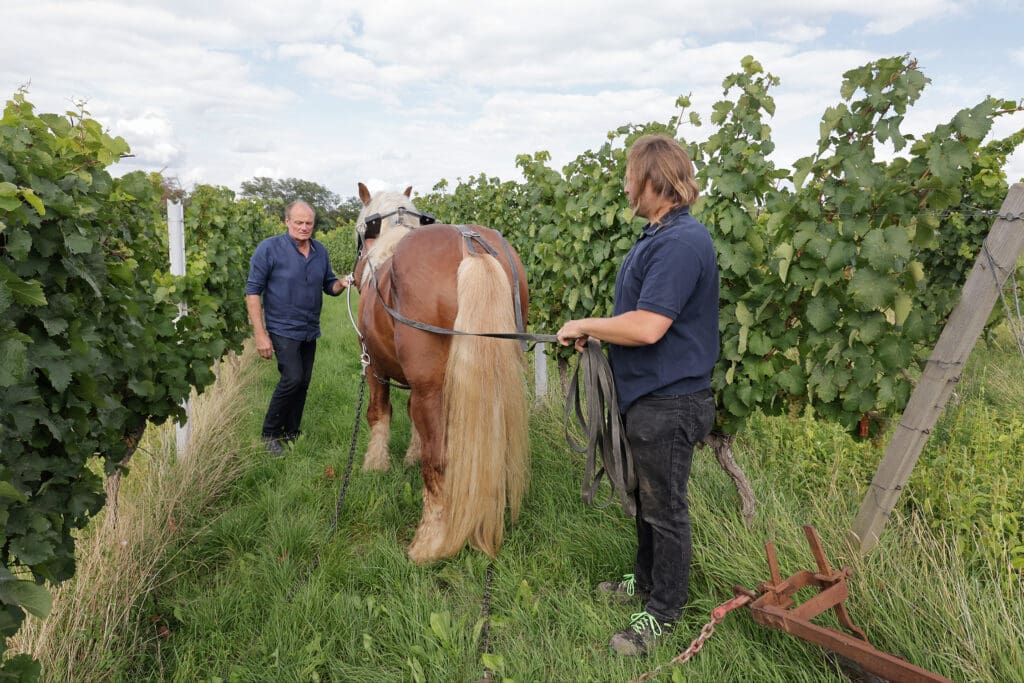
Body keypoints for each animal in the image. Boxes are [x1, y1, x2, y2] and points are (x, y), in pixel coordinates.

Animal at [350, 179, 528, 565]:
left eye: (359, 233)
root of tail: (471, 245)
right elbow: (409, 416)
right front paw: (409, 455)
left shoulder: (374, 366)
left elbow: (379, 412)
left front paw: (375, 464)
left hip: (429, 386)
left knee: (439, 460)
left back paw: (429, 541)